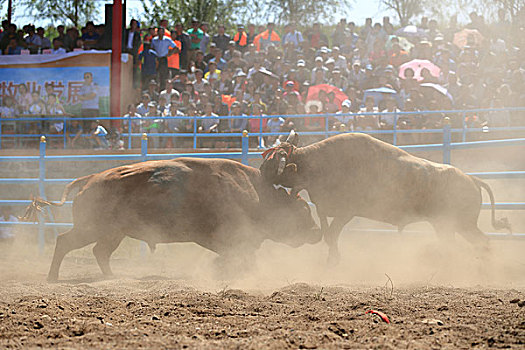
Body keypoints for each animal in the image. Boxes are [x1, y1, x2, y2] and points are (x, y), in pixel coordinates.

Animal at [23, 159, 320, 282]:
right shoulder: (234, 237)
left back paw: (111, 276)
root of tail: (89, 180)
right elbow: (241, 258)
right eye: (303, 210)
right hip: (91, 229)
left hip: (113, 233)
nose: (317, 231)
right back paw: (52, 277)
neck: (256, 193)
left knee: (100, 252)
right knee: (64, 242)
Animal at [260, 131, 510, 262]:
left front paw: (334, 261)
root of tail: (472, 179)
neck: (318, 163)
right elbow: (328, 234)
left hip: (460, 224)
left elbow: (331, 234)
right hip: (449, 226)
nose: (260, 170)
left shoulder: (346, 212)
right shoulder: (324, 208)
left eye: (273, 161)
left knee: (481, 243)